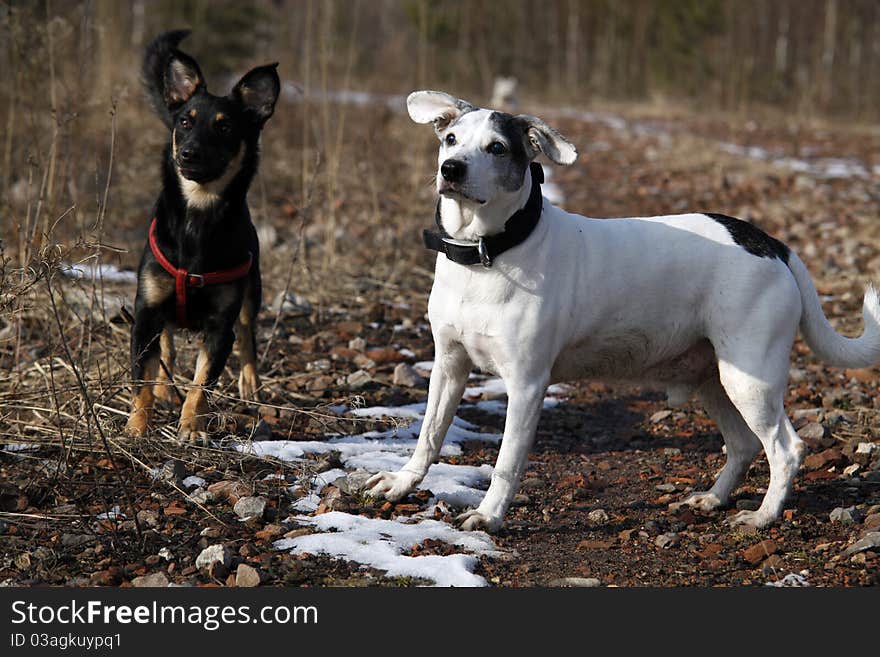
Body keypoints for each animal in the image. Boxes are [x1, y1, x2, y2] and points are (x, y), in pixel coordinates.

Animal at [124, 32, 278, 440]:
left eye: (224, 128)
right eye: (184, 122)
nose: (189, 154)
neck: (197, 213)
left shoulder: (220, 325)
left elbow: (202, 381)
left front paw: (192, 424)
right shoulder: (145, 313)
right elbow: (142, 378)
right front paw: (137, 425)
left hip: (251, 292)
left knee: (248, 336)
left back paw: (251, 384)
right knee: (166, 347)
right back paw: (165, 388)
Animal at [366, 92, 880, 532]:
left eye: (497, 148)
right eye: (450, 138)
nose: (450, 169)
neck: (489, 254)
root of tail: (770, 242)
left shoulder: (527, 385)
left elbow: (507, 462)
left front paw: (490, 516)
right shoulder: (448, 366)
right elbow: (429, 435)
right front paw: (403, 484)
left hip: (751, 380)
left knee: (786, 449)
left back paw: (763, 517)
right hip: (715, 378)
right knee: (744, 444)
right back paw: (714, 499)